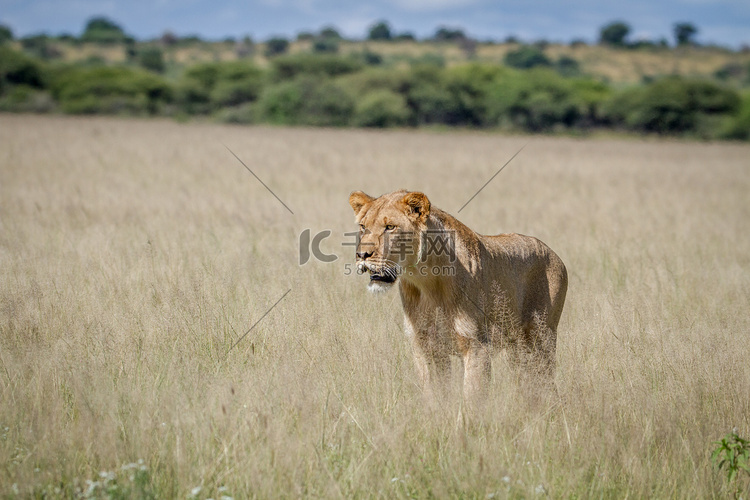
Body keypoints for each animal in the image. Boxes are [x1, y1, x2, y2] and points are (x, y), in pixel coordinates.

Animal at [350, 189, 568, 404]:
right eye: (363, 226)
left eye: (390, 227)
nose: (362, 255)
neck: (425, 281)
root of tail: (555, 254)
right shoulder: (425, 346)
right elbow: (433, 395)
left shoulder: (477, 345)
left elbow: (472, 398)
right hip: (518, 349)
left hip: (541, 340)